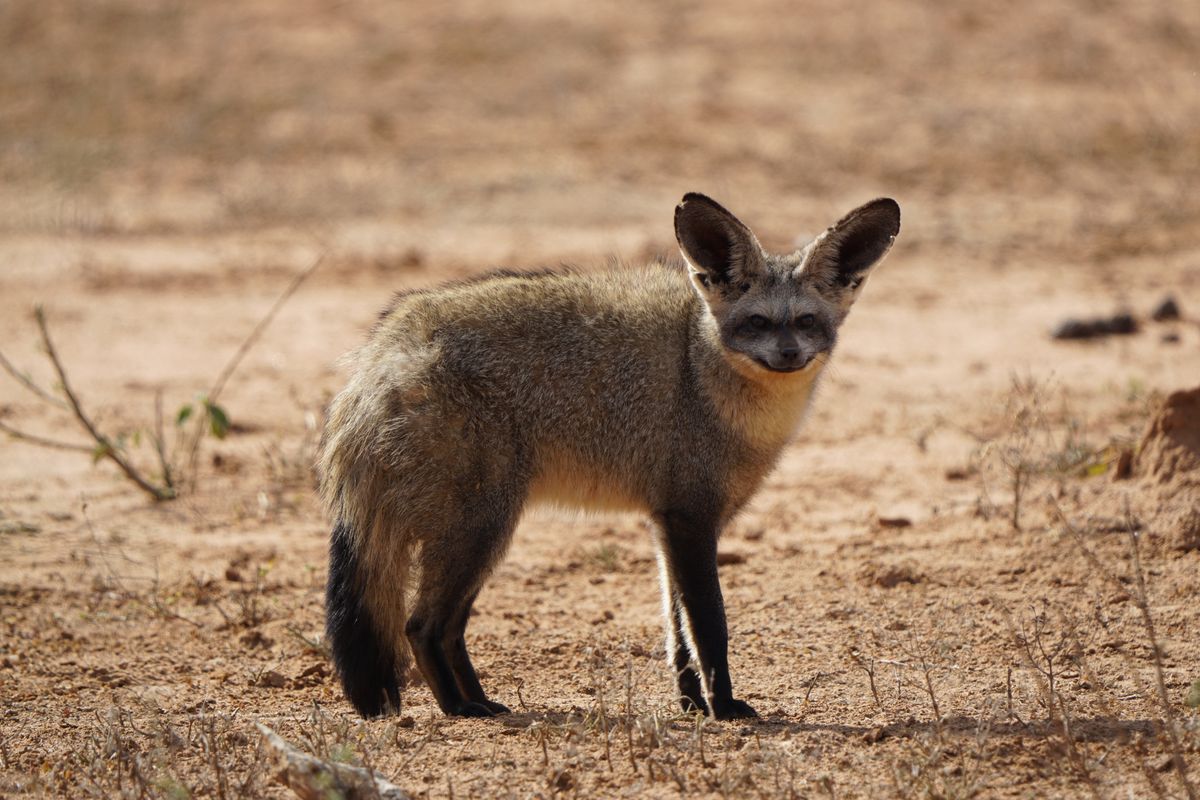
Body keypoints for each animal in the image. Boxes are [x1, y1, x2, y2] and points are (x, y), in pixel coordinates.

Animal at [319, 192, 900, 720]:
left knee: (447, 629)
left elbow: (677, 632)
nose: (789, 355)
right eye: (756, 323)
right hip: (482, 527)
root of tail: (382, 346)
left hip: (479, 534)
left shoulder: (671, 523)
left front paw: (693, 706)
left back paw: (480, 700)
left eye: (806, 322)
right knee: (421, 626)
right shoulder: (691, 520)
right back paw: (461, 709)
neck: (701, 370)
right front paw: (724, 708)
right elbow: (709, 627)